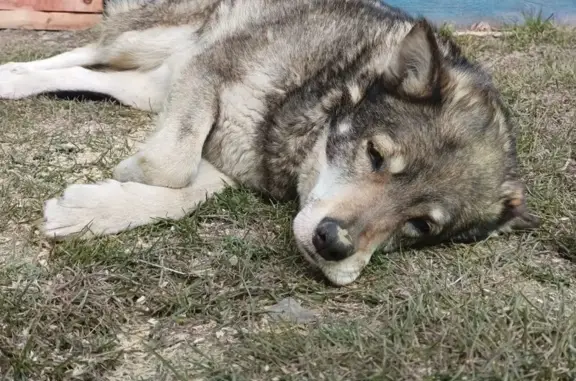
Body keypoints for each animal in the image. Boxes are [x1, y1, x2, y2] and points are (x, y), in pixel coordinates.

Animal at [0, 0, 540, 284]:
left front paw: (93, 209)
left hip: (150, 87)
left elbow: (188, 192)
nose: (333, 244)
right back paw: (11, 72)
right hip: (148, 39)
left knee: (89, 74)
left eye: (422, 225)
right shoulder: (208, 70)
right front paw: (130, 174)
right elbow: (170, 167)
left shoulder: (226, 159)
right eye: (376, 155)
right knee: (80, 52)